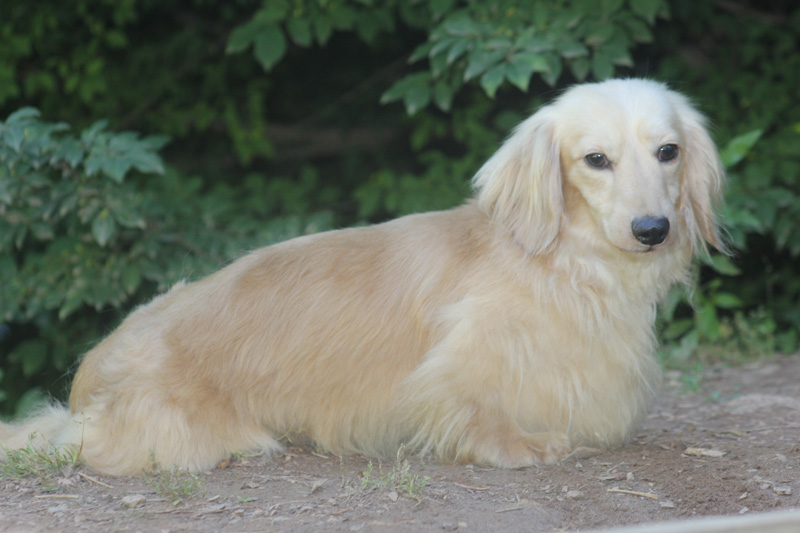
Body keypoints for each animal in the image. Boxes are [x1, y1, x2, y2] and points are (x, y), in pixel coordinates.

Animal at [0, 79, 724, 474]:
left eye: (668, 151)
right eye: (595, 159)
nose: (652, 229)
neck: (562, 263)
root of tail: (94, 369)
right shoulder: (452, 369)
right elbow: (474, 409)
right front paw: (522, 445)